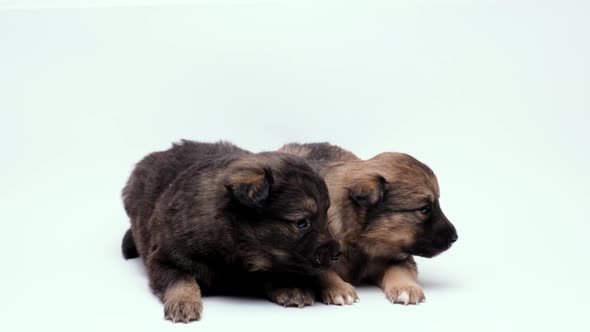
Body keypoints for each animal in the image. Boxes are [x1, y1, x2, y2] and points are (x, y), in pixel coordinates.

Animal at [280, 143, 460, 306]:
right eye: (424, 209)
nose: (455, 237)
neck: (364, 242)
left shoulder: (398, 256)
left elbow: (399, 270)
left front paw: (406, 288)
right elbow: (324, 272)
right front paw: (340, 289)